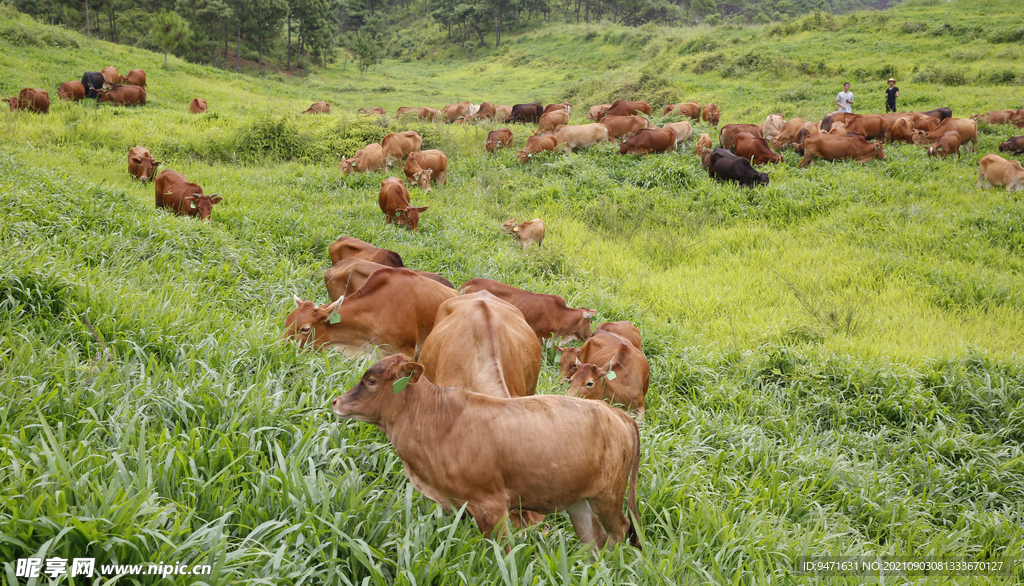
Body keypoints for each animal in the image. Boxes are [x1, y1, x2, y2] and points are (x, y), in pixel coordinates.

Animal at [329, 354, 638, 553]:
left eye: (371, 381)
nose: (336, 401)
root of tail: (615, 412)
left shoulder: (492, 506)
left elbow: (503, 552)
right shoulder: (456, 504)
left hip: (608, 497)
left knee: (620, 529)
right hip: (578, 501)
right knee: (593, 540)